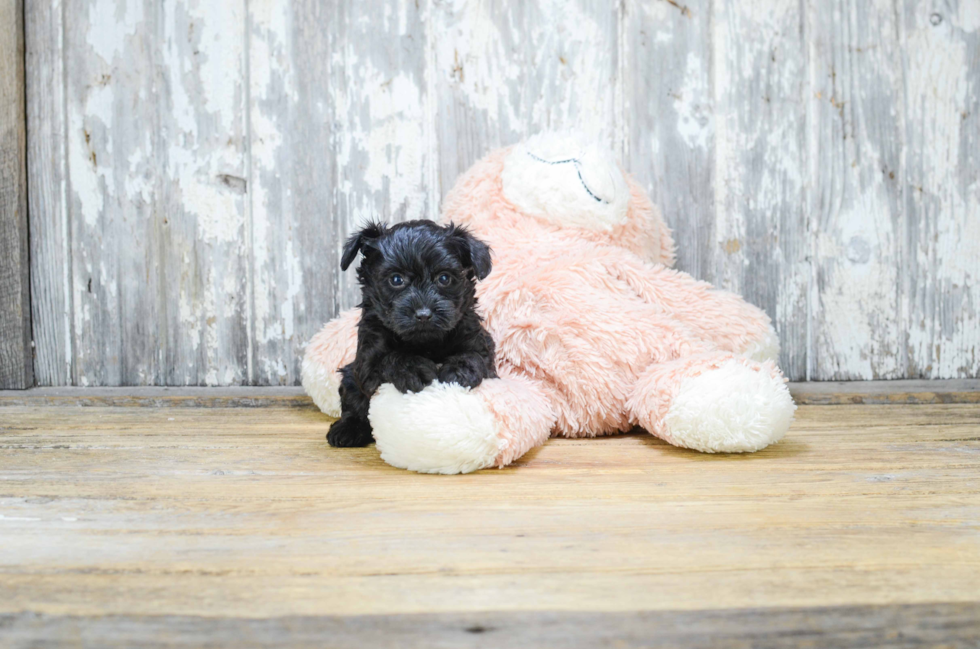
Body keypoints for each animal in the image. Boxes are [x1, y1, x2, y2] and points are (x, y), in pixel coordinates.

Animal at [328, 218, 498, 446]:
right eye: (396, 280)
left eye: (444, 278)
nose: (423, 314)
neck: (425, 343)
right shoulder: (367, 359)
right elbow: (389, 359)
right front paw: (412, 369)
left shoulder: (479, 342)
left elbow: (474, 356)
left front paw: (458, 370)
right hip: (349, 375)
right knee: (353, 400)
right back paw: (348, 430)